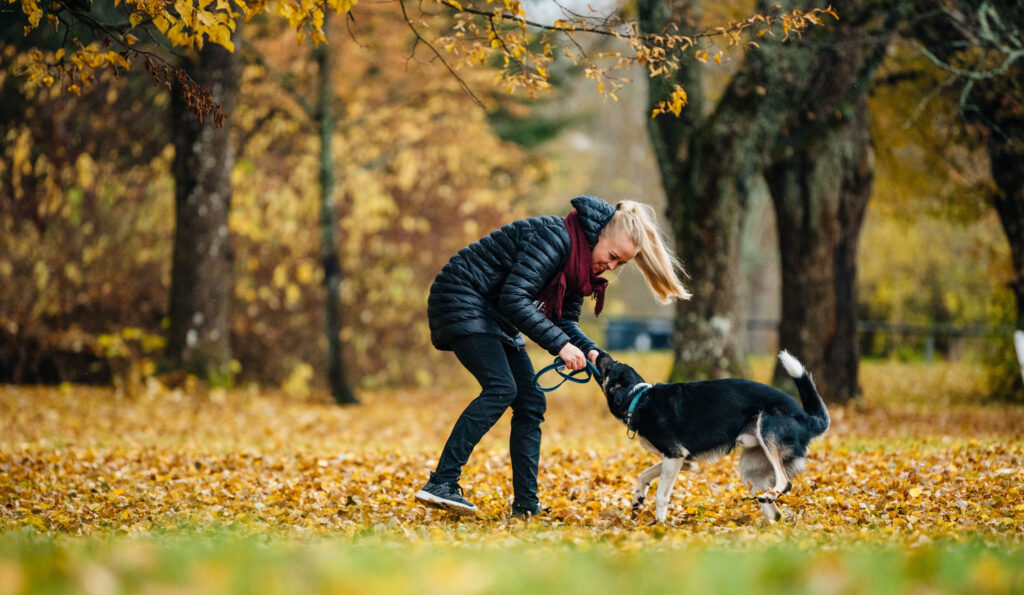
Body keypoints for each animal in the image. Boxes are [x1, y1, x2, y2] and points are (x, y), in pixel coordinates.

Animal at [598, 350, 827, 522]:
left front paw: (659, 525)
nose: (600, 353)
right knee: (775, 513)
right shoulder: (682, 461)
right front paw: (638, 499)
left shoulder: (675, 456)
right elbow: (644, 474)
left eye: (609, 368)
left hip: (767, 434)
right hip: (750, 472)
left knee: (785, 482)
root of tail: (808, 419)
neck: (638, 397)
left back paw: (771, 495)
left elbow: (661, 494)